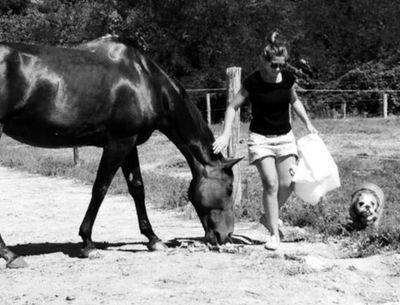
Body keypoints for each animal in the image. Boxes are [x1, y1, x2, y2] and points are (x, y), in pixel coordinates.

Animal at [0, 35, 241, 268]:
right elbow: (100, 188)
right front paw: (88, 243)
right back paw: (10, 255)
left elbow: (137, 188)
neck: (145, 79)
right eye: (229, 189)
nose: (225, 235)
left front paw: (153, 239)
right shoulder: (119, 143)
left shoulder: (130, 144)